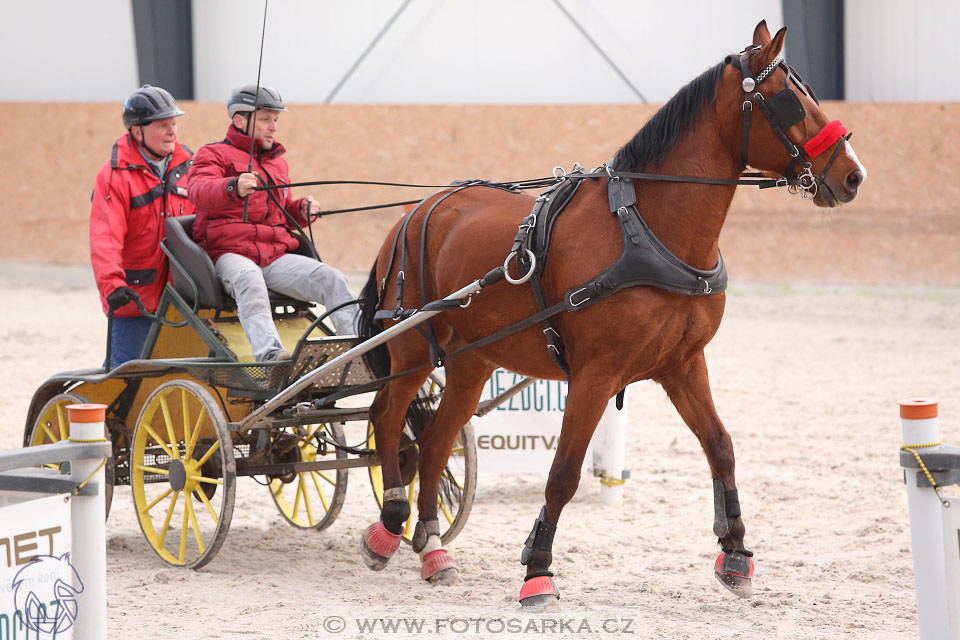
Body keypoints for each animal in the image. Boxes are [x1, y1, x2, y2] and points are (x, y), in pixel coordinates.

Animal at [356, 20, 868, 604]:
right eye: (789, 100)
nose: (854, 176)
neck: (647, 231)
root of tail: (417, 211)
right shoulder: (596, 375)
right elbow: (564, 473)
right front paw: (537, 570)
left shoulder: (682, 364)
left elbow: (720, 446)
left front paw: (735, 552)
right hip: (412, 348)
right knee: (387, 417)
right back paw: (389, 524)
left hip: (472, 360)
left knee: (436, 440)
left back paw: (433, 546)